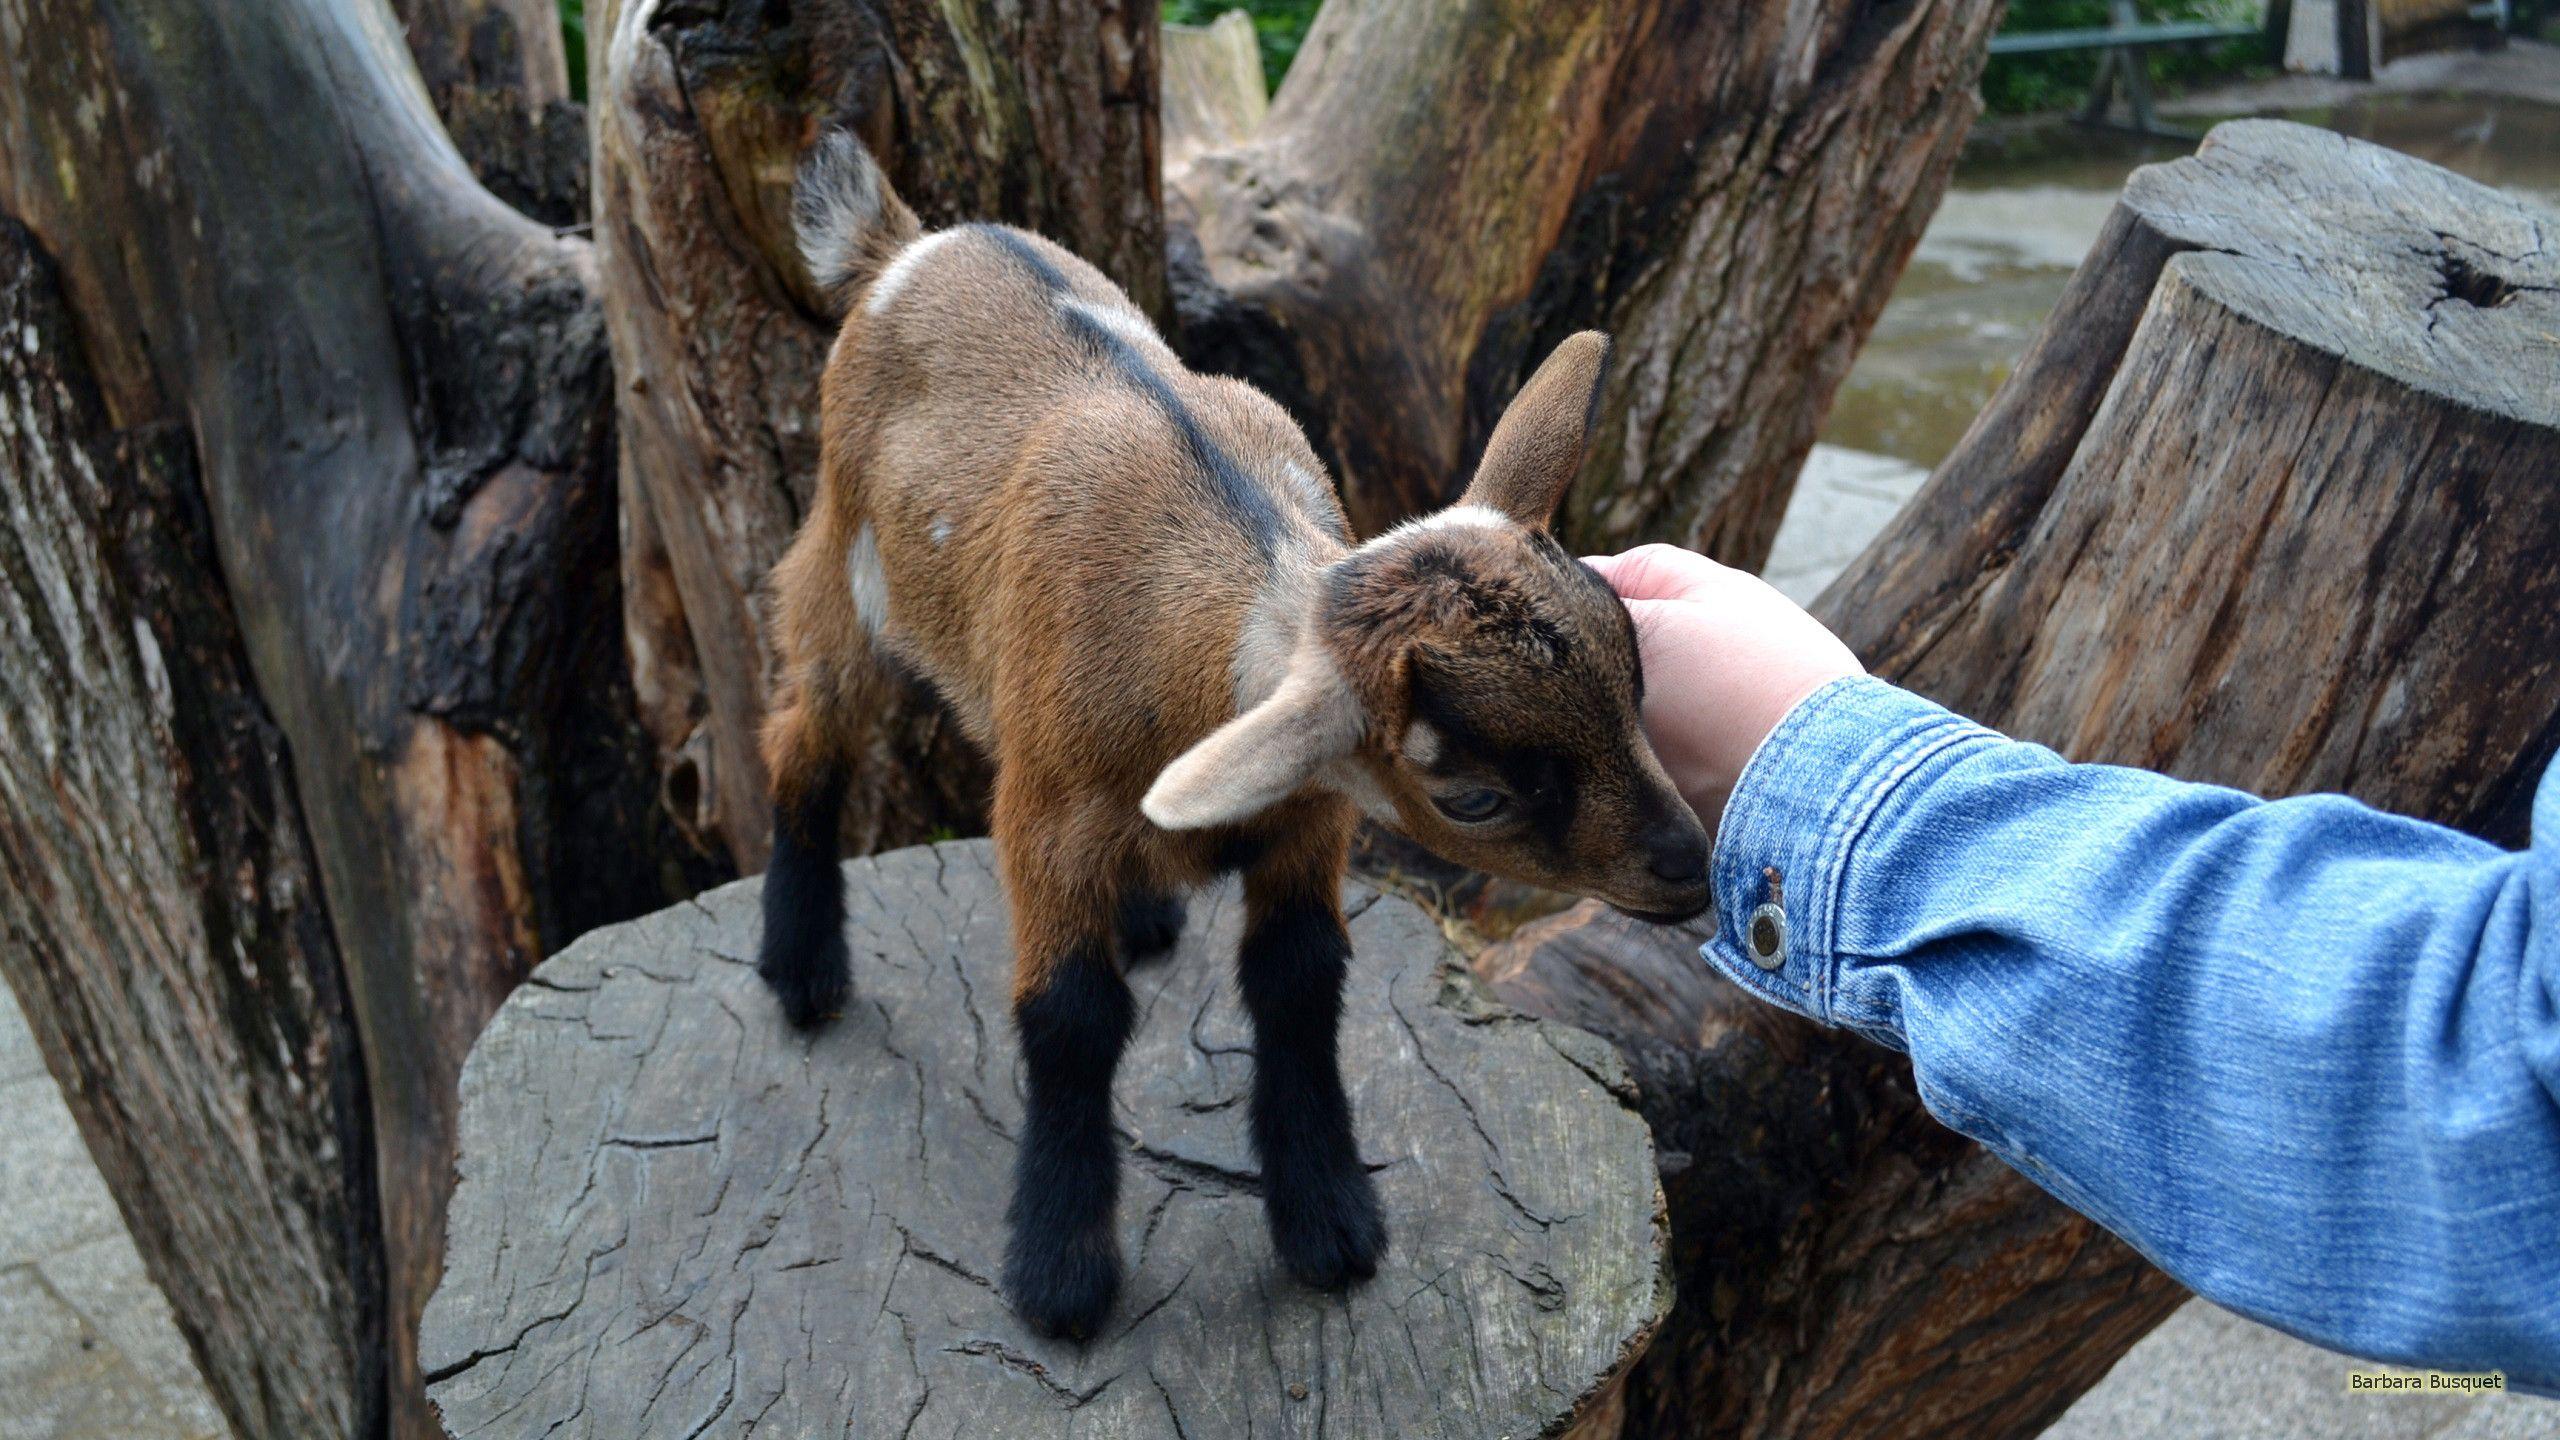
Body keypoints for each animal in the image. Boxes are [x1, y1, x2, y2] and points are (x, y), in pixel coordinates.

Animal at [759, 131, 1712, 1339]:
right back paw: (802, 973)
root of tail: (905, 243)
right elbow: (1070, 1017)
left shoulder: (1308, 815)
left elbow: (1300, 981)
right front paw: (1060, 1275)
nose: (1691, 869)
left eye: (1637, 677)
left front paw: (1329, 1225)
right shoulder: (1041, 814)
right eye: (1479, 797)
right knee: (806, 734)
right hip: (844, 552)